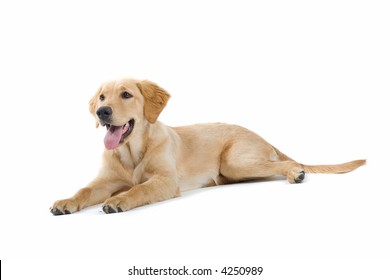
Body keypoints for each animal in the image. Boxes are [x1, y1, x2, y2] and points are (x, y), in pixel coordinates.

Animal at [49, 77, 366, 215]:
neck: (132, 150)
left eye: (126, 95)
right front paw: (66, 201)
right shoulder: (104, 181)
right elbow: (84, 190)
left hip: (236, 162)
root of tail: (261, 135)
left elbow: (140, 189)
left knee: (288, 162)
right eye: (102, 97)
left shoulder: (165, 181)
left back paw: (296, 173)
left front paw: (119, 200)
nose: (102, 112)